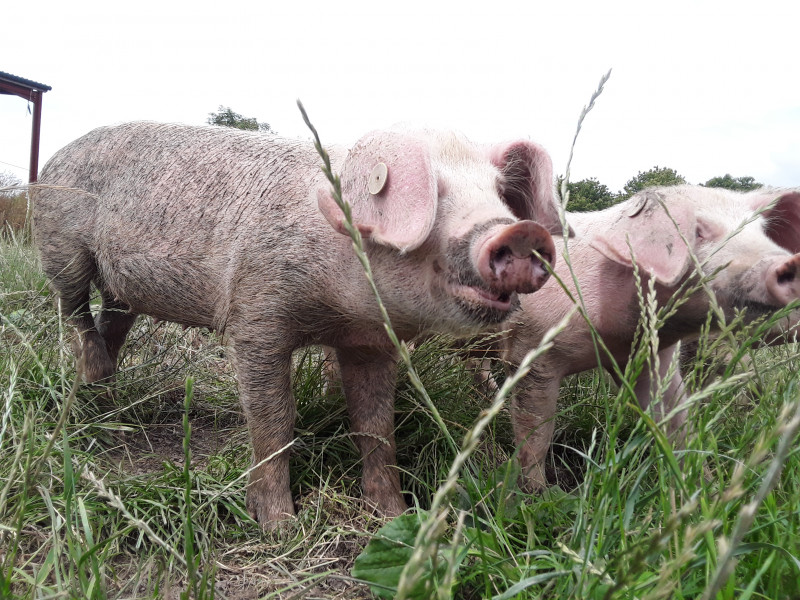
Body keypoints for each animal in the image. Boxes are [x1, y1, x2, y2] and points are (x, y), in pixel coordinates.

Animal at [32, 119, 564, 528]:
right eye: (435, 192)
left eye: (499, 195)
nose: (522, 232)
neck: (339, 309)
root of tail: (54, 158)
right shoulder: (254, 315)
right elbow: (274, 418)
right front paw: (279, 525)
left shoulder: (371, 343)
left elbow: (375, 425)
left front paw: (393, 515)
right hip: (61, 246)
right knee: (73, 309)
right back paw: (94, 376)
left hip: (121, 288)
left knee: (111, 320)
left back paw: (106, 392)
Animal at [500, 185, 800, 490]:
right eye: (698, 231)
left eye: (761, 231)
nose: (789, 261)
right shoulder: (532, 349)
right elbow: (537, 431)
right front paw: (538, 492)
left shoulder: (651, 355)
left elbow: (677, 419)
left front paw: (706, 487)